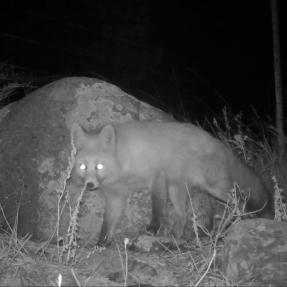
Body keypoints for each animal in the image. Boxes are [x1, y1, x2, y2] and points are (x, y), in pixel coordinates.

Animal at [71, 121, 274, 248]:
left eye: (99, 166)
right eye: (83, 166)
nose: (89, 185)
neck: (123, 161)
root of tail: (215, 141)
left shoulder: (157, 176)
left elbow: (157, 208)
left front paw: (153, 229)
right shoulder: (116, 196)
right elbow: (107, 224)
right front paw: (100, 245)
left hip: (215, 187)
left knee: (240, 201)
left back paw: (233, 225)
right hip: (178, 190)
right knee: (184, 217)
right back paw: (178, 239)